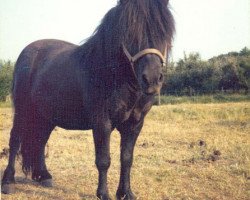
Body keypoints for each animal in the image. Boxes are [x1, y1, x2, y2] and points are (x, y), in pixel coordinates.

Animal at [1, 0, 174, 199]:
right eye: (130, 31)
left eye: (164, 31)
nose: (152, 79)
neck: (110, 74)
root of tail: (27, 52)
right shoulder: (102, 122)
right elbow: (104, 160)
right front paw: (103, 194)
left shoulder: (134, 124)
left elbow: (127, 158)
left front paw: (126, 193)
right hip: (23, 110)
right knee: (15, 140)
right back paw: (8, 182)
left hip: (46, 115)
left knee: (40, 140)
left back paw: (44, 176)